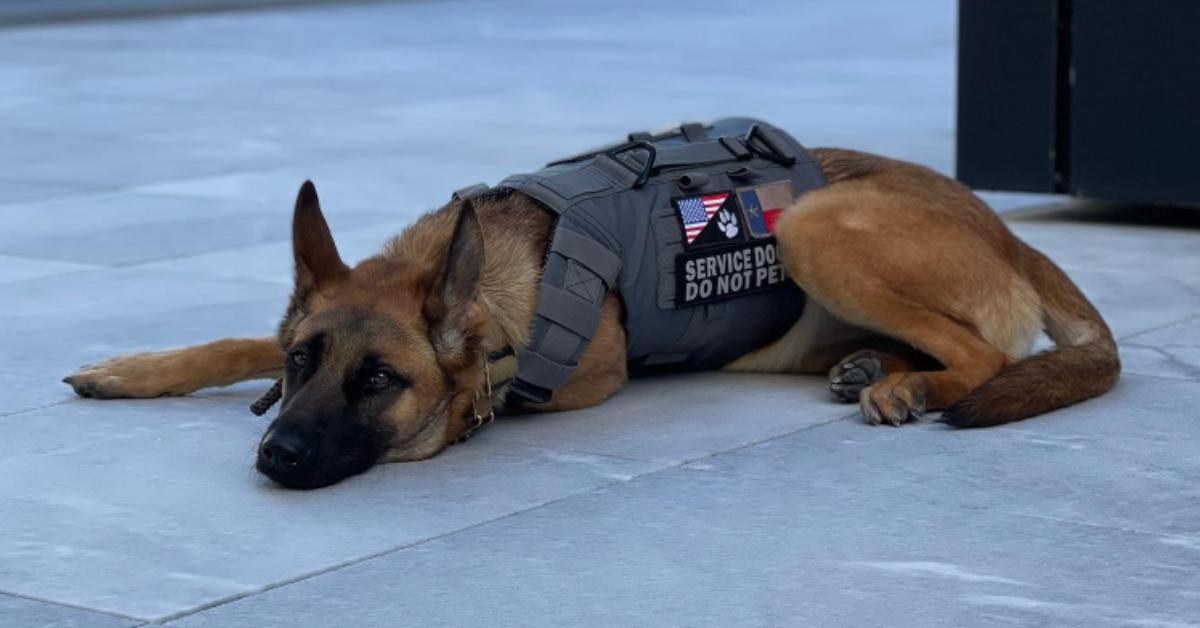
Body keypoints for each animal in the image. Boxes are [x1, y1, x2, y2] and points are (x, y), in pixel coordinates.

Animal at [63, 145, 1113, 489]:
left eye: (379, 381)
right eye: (303, 364)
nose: (275, 454)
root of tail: (1007, 232)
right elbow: (238, 336)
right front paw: (134, 369)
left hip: (816, 227)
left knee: (983, 354)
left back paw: (908, 387)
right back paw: (871, 366)